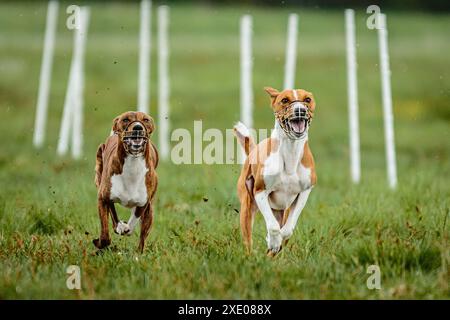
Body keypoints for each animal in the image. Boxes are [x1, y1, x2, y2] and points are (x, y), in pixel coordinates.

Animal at [93, 111, 158, 254]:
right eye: (126, 119)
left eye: (145, 119)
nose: (138, 127)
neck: (133, 164)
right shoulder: (103, 197)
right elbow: (105, 235)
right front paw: (100, 243)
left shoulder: (145, 203)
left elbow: (136, 222)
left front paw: (127, 229)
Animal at [234, 87, 318, 255]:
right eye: (284, 100)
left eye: (307, 99)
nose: (300, 110)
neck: (290, 154)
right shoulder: (260, 191)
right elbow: (273, 227)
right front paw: (272, 241)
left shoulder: (304, 193)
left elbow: (287, 230)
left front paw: (274, 243)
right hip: (248, 207)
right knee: (248, 241)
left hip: (281, 210)